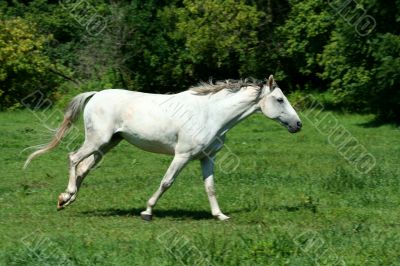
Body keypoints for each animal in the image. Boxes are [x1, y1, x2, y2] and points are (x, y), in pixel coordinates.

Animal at [24, 74, 300, 220]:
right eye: (279, 99)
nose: (298, 124)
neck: (210, 114)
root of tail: (96, 94)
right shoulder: (183, 155)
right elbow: (166, 182)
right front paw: (147, 211)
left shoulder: (206, 158)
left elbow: (210, 188)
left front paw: (219, 215)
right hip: (97, 141)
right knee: (73, 158)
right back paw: (67, 194)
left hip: (108, 144)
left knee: (83, 168)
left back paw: (65, 200)